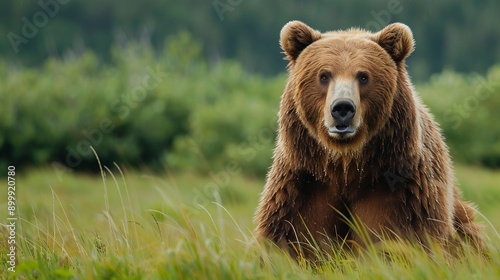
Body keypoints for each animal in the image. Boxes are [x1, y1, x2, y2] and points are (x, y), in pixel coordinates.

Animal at [256, 20, 482, 260]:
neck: (346, 166)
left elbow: (406, 240)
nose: (342, 108)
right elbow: (291, 236)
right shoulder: (303, 184)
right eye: (324, 75)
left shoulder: (400, 188)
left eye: (363, 76)